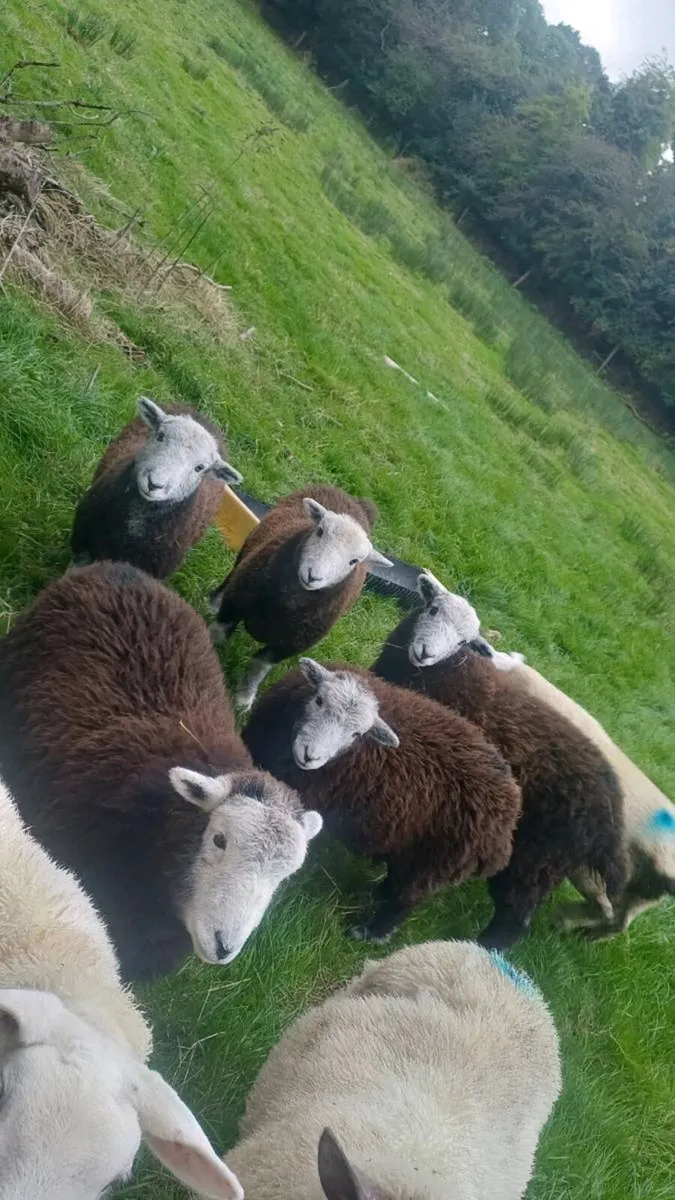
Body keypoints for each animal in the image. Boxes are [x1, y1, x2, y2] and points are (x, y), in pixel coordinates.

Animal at [209, 485, 392, 710]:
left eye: (354, 561)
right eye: (320, 531)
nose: (313, 576)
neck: (285, 604)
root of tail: (354, 500)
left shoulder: (291, 645)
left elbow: (259, 665)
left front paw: (244, 699)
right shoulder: (235, 601)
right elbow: (219, 633)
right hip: (248, 550)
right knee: (232, 574)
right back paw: (214, 602)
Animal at [243, 657, 522, 942]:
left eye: (356, 734)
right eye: (319, 700)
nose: (310, 756)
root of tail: (507, 819)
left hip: (432, 865)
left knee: (404, 901)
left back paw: (371, 932)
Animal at [371, 570, 629, 948]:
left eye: (463, 641)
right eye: (432, 609)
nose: (424, 652)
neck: (452, 673)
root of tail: (610, 823)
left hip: (538, 857)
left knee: (516, 916)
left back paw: (482, 948)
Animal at [482, 650, 675, 937]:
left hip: (593, 870)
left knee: (607, 910)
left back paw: (564, 921)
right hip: (637, 893)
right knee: (618, 921)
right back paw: (583, 933)